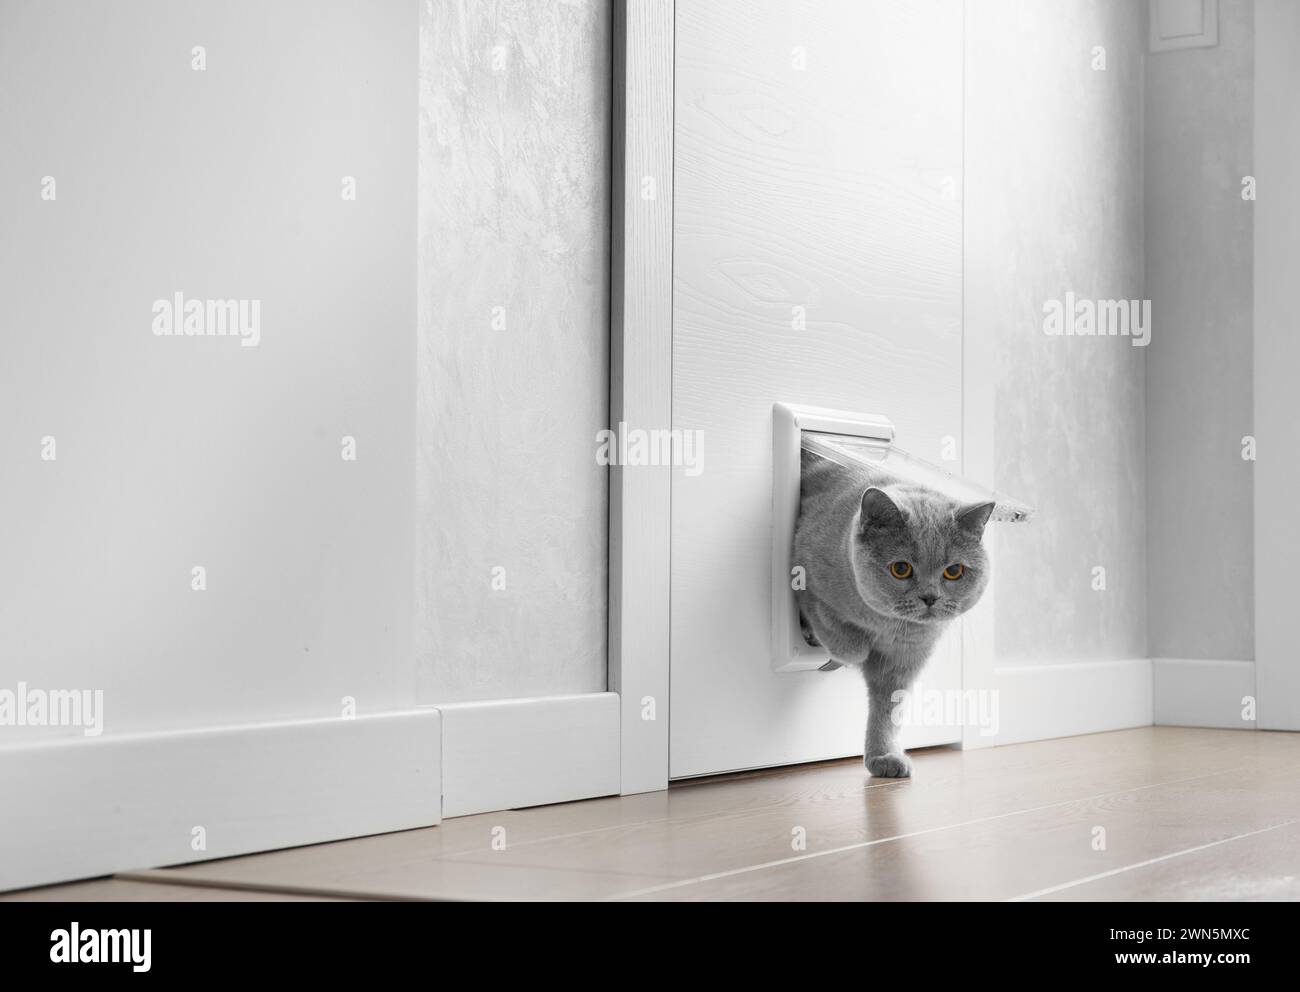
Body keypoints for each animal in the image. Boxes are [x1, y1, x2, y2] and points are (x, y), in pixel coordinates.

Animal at [790, 447, 993, 780]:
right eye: (901, 569)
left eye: (953, 571)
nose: (930, 597)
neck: (890, 625)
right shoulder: (804, 577)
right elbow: (847, 641)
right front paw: (847, 653)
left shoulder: (905, 660)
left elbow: (888, 710)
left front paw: (883, 756)